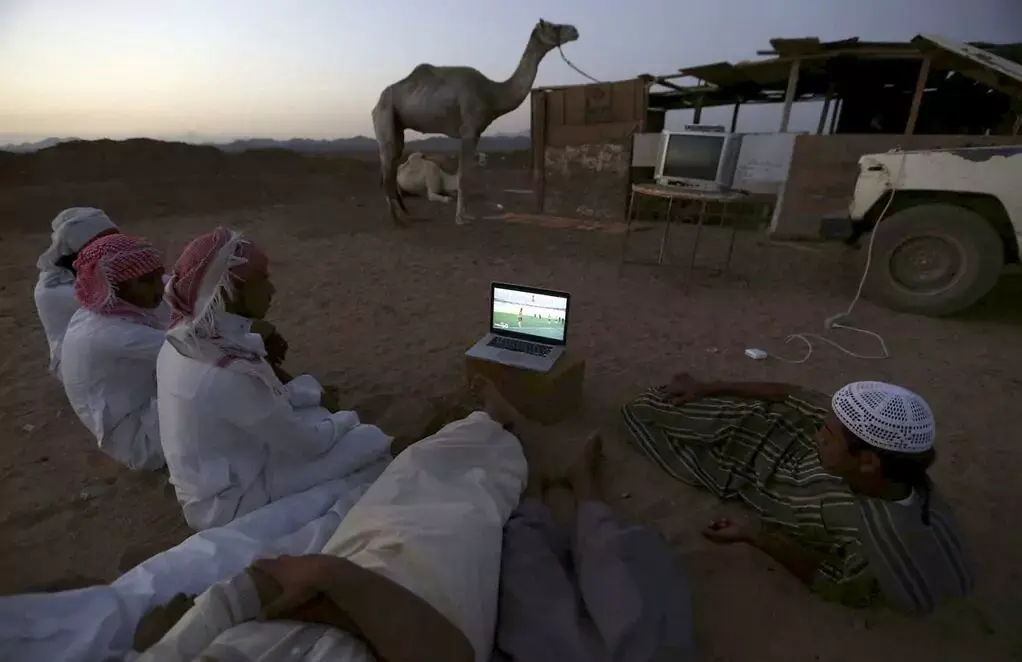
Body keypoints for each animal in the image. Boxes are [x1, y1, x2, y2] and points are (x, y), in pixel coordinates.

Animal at [374, 19, 584, 225]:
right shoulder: (468, 130)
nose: (574, 30)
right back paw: (395, 218)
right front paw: (460, 218)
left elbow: (467, 174)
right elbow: (462, 176)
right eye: (552, 26)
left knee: (392, 164)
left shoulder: (476, 133)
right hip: (385, 117)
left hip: (397, 126)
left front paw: (466, 215)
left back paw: (404, 213)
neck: (492, 94)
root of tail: (377, 104)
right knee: (386, 166)